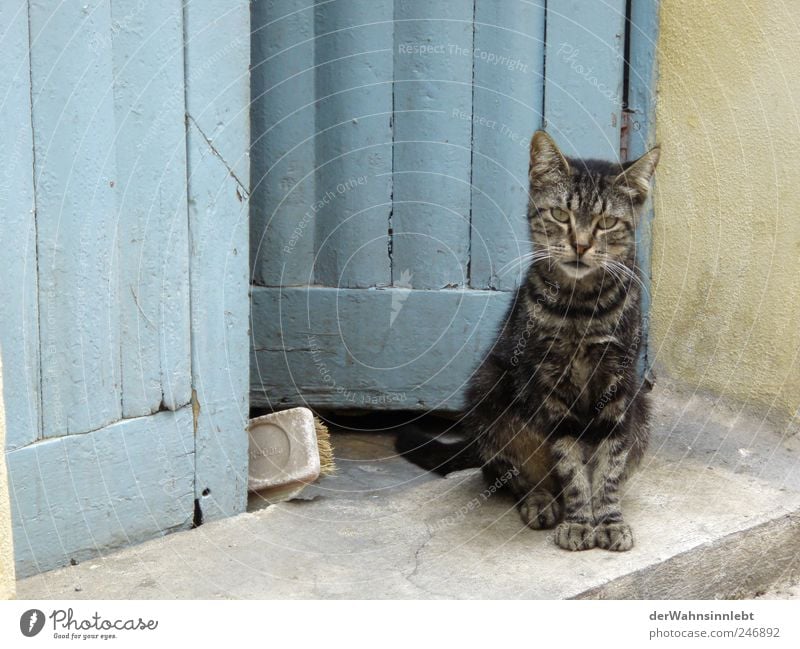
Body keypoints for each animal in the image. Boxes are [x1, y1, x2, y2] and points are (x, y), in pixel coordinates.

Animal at [396, 132, 660, 552]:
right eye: (560, 215)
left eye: (606, 223)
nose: (581, 245)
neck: (580, 309)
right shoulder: (550, 385)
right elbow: (570, 464)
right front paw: (579, 521)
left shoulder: (619, 386)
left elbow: (610, 464)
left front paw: (609, 519)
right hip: (489, 388)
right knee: (506, 475)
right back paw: (541, 501)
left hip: (642, 407)